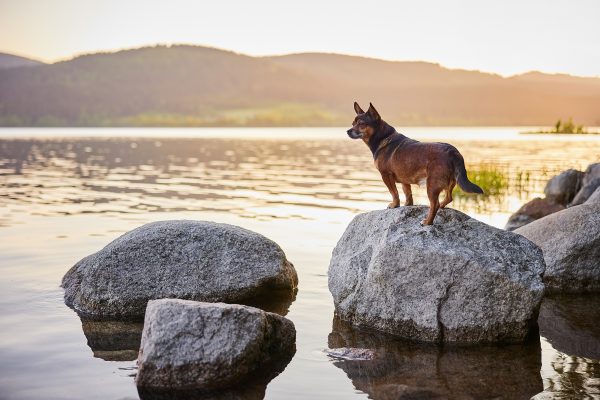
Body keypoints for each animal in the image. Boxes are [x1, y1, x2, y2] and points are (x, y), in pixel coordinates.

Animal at [346, 101, 482, 225]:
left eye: (361, 124)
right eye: (353, 123)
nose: (347, 131)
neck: (383, 138)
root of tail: (453, 151)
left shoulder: (386, 175)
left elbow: (394, 193)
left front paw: (395, 205)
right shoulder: (404, 180)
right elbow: (408, 193)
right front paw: (407, 205)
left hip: (432, 185)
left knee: (434, 204)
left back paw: (427, 222)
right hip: (451, 181)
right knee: (449, 197)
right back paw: (442, 207)